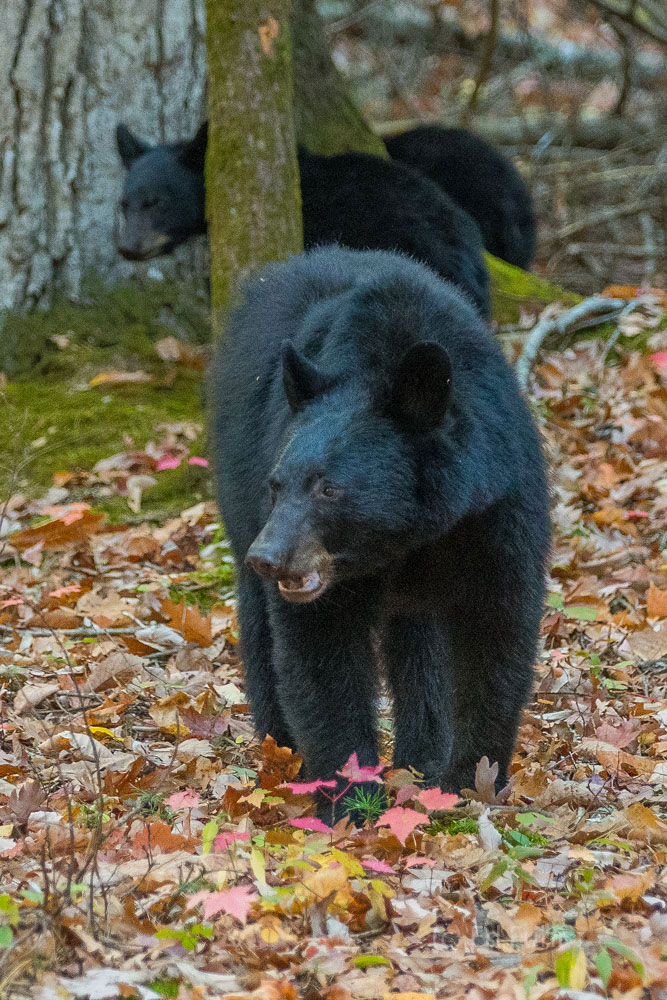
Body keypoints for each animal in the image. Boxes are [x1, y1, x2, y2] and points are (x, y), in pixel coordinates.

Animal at [211, 246, 552, 816]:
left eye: (329, 488)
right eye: (277, 484)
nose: (269, 555)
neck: (404, 536)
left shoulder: (497, 511)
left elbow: (496, 631)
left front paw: (470, 783)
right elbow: (320, 654)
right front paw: (350, 801)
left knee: (422, 649)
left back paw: (422, 760)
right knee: (261, 630)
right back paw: (282, 753)